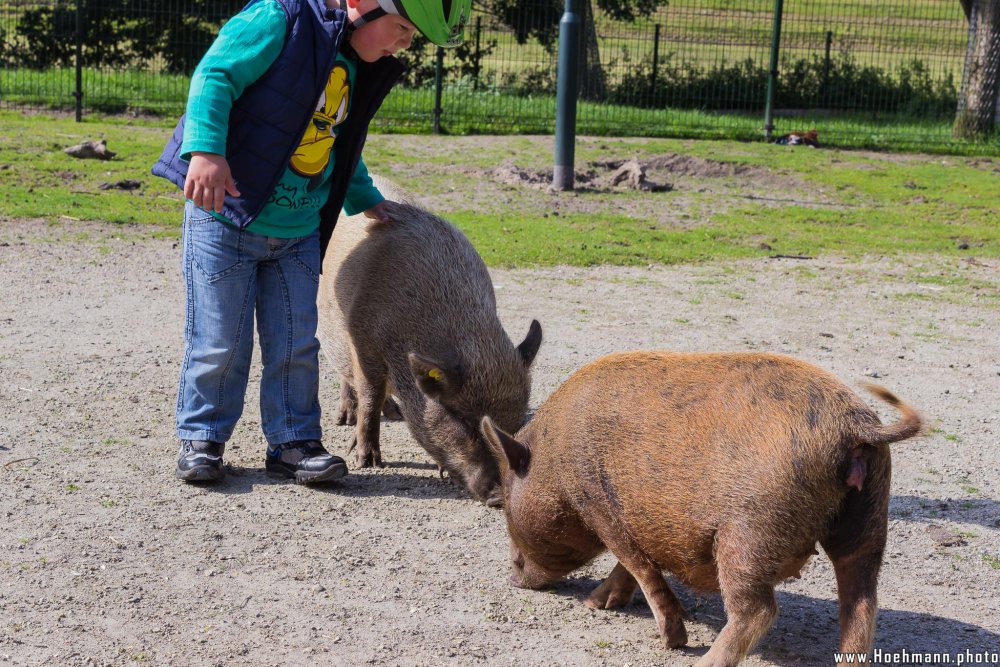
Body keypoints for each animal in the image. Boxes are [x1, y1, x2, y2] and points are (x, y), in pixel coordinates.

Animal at [318, 196, 540, 508]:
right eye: (466, 422)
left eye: (516, 425)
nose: (500, 498)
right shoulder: (364, 344)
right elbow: (370, 398)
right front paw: (367, 462)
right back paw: (347, 420)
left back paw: (393, 413)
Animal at [482, 352, 920, 664]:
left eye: (505, 504)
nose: (511, 578)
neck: (554, 462)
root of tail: (856, 428)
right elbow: (632, 565)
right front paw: (597, 604)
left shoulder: (599, 505)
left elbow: (637, 564)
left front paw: (670, 641)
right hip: (869, 519)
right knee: (860, 605)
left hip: (748, 536)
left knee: (758, 610)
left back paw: (702, 663)